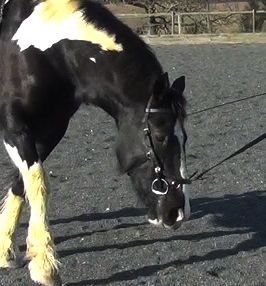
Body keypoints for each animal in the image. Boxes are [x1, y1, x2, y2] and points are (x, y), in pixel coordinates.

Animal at [0, 0, 191, 286]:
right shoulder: (15, 128)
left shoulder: (50, 130)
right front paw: (45, 265)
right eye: (160, 135)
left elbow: (22, 185)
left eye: (185, 137)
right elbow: (38, 185)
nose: (177, 212)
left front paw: (5, 250)